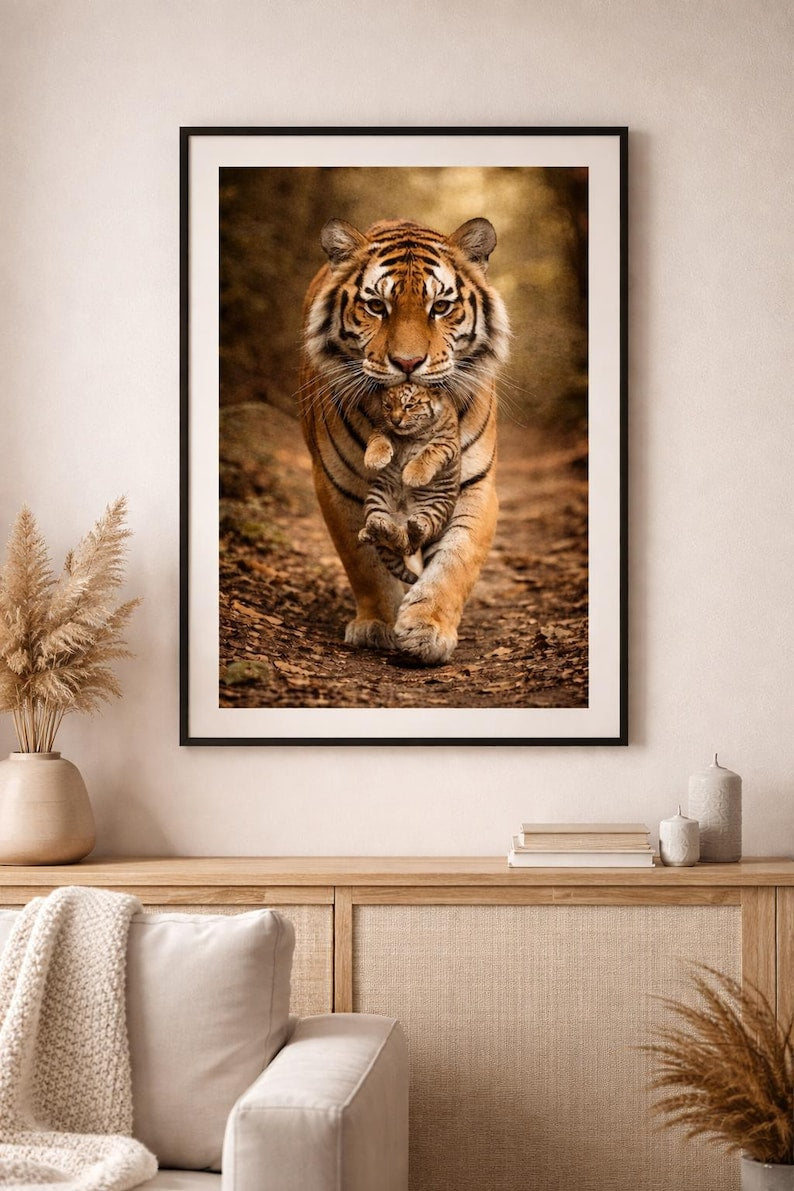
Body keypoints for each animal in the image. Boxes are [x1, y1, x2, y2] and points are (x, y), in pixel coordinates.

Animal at [359, 382, 461, 586]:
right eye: (388, 406)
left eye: (409, 406)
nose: (396, 421)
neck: (412, 434)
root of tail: (402, 518)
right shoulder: (383, 426)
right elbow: (378, 438)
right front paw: (375, 459)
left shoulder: (447, 440)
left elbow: (429, 450)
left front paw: (412, 475)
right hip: (377, 498)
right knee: (392, 540)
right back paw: (372, 530)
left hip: (434, 509)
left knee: (409, 544)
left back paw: (415, 527)